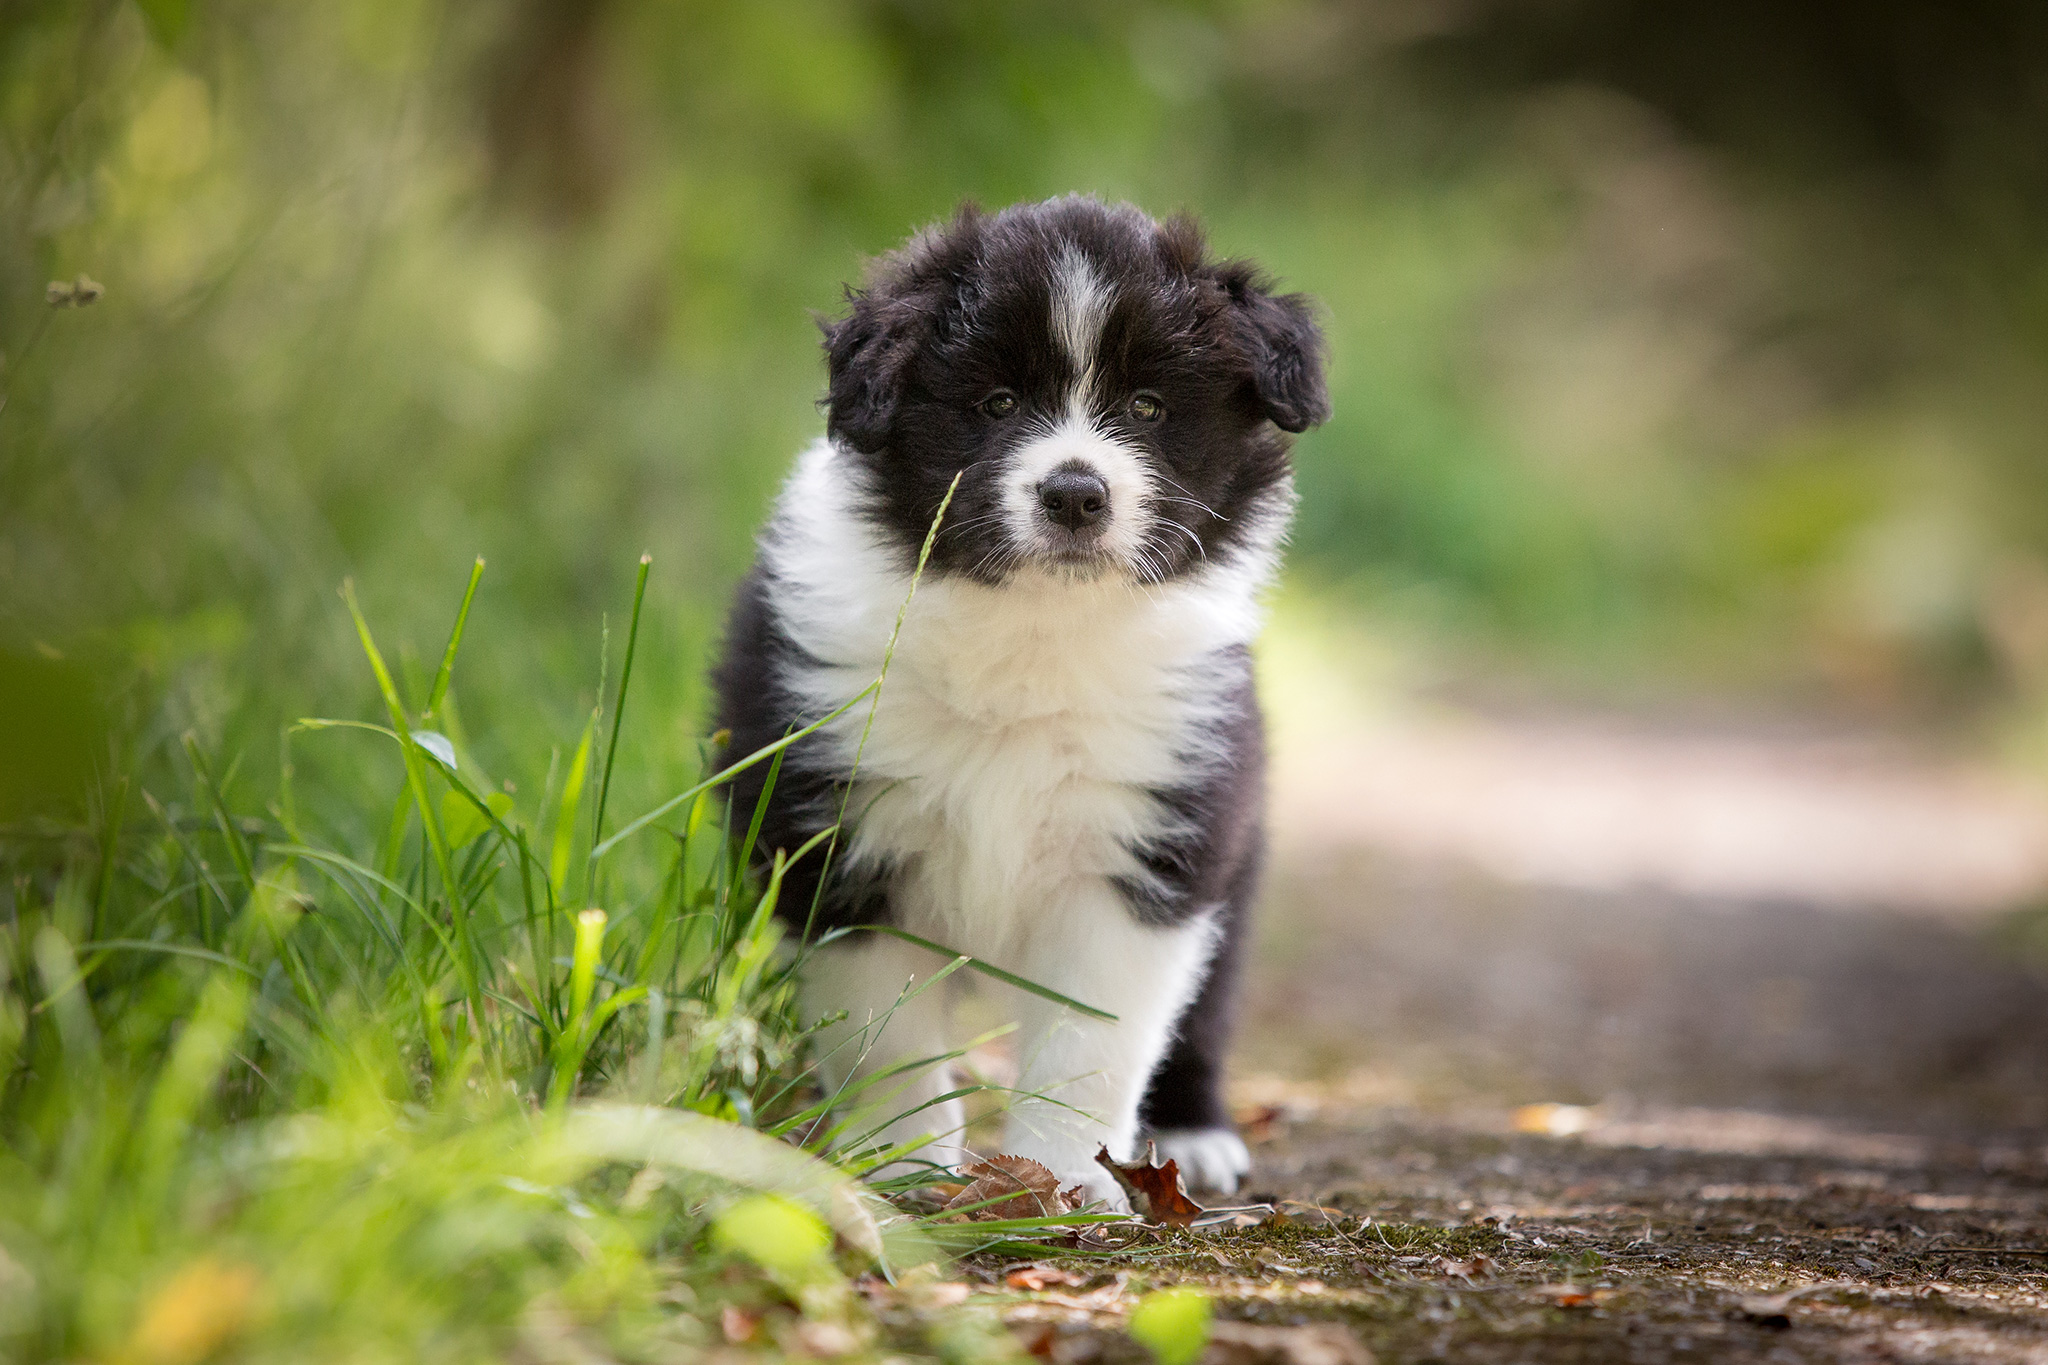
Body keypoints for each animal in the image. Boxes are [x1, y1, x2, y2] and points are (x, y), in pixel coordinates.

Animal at [716, 194, 1327, 1203]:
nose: (1075, 493)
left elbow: (1091, 1043)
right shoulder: (835, 830)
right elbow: (885, 1032)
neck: (1037, 629)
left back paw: (1193, 1134)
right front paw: (904, 1165)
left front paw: (1065, 1182)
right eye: (996, 403)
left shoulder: (1147, 843)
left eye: (1148, 407)